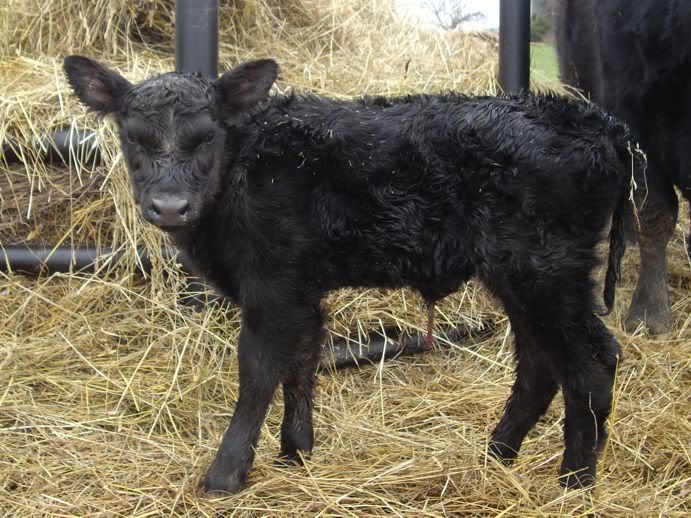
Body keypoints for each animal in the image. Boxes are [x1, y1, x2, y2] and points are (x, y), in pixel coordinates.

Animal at [64, 55, 637, 494]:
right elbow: (300, 362)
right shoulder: (300, 289)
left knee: (591, 362)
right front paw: (296, 452)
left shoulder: (272, 285)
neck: (242, 170)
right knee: (541, 364)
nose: (169, 206)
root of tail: (595, 121)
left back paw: (573, 480)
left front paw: (226, 475)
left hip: (545, 271)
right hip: (522, 278)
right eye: (134, 138)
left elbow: (258, 371)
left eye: (206, 138)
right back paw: (497, 455)